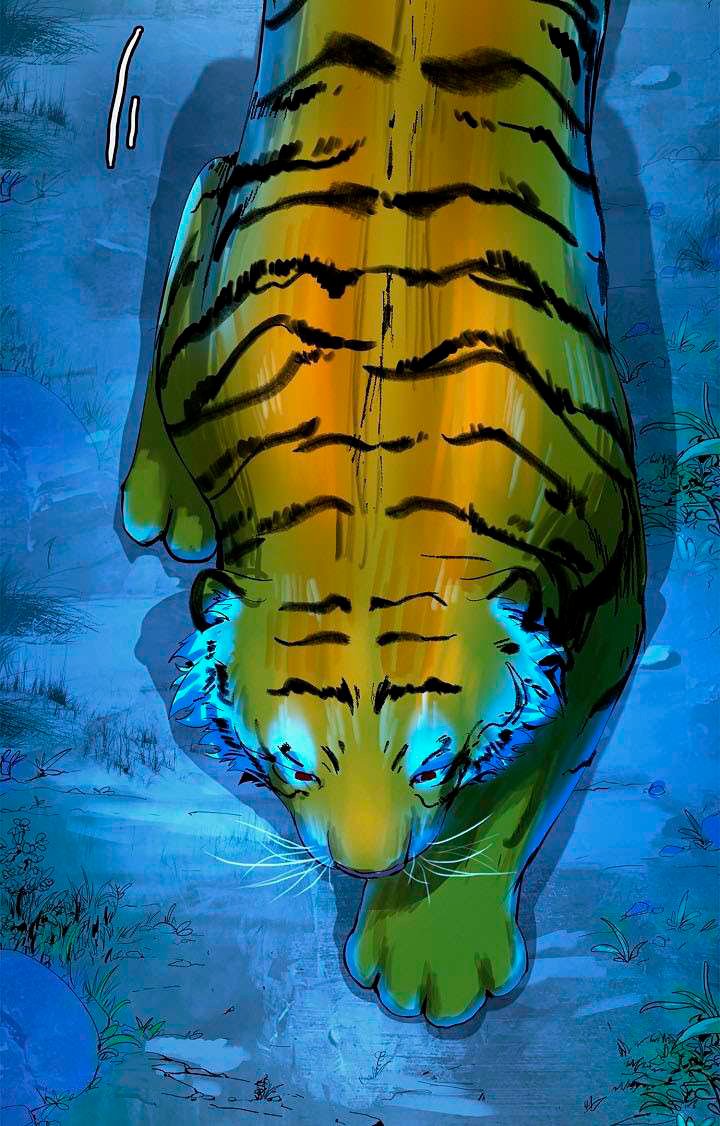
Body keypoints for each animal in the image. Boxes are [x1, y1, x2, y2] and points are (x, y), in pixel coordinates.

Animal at [122, 0, 646, 1027]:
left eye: (436, 764)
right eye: (291, 764)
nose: (366, 867)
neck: (371, 524)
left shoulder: (609, 597)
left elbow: (514, 792)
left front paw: (431, 952)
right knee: (205, 185)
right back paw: (167, 500)